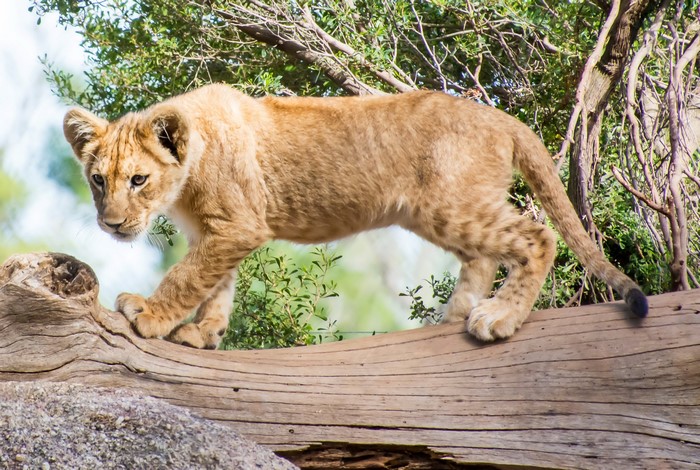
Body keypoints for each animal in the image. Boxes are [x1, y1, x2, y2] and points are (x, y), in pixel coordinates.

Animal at [63, 84, 647, 349]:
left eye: (138, 180)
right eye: (99, 180)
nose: (111, 224)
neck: (185, 181)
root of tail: (500, 117)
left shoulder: (237, 225)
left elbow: (187, 276)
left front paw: (149, 314)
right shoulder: (220, 232)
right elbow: (215, 285)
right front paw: (205, 333)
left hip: (453, 205)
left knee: (537, 237)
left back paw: (498, 318)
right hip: (436, 214)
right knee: (481, 258)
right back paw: (454, 317)